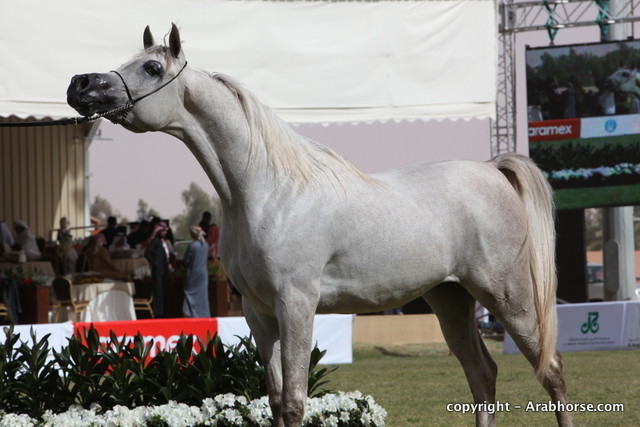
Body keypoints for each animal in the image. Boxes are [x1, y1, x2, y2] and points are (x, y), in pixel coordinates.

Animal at [67, 24, 572, 427]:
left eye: (152, 67)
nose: (80, 83)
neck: (270, 192)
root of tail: (492, 170)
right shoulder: (259, 313)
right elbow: (274, 400)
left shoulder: (296, 305)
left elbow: (294, 401)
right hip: (450, 299)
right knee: (482, 374)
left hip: (508, 297)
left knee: (551, 371)